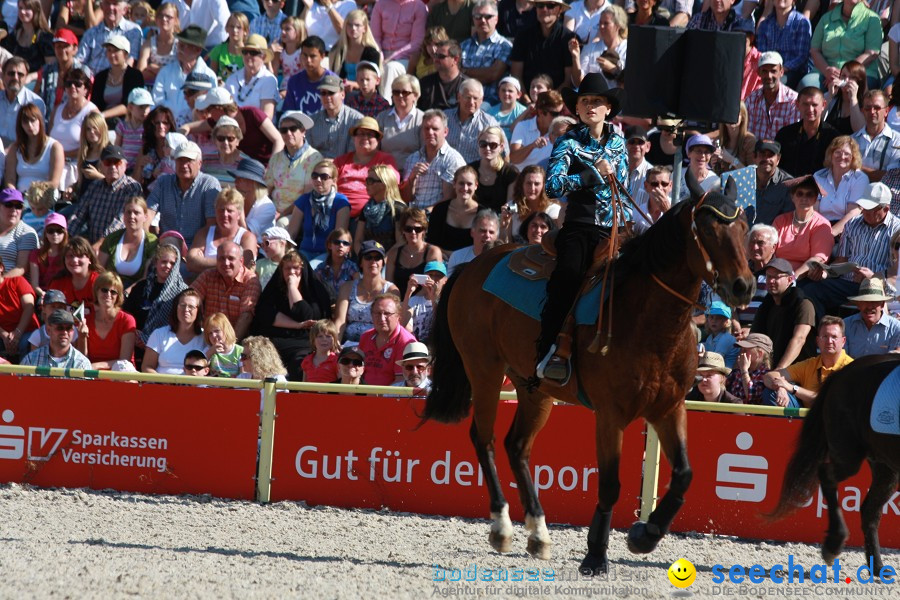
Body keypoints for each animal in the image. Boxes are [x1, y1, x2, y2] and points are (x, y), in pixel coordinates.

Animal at [422, 176, 752, 576]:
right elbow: (609, 485)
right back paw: (502, 527)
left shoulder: (669, 409)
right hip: (484, 369)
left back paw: (539, 534)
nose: (743, 286)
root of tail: (471, 268)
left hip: (534, 390)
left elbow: (684, 475)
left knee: (516, 446)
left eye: (743, 226)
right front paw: (596, 554)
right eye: (706, 228)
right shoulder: (610, 416)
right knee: (483, 439)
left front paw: (646, 534)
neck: (648, 320)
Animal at [768, 354, 900, 576]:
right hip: (849, 456)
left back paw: (878, 567)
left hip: (885, 467)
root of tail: (842, 373)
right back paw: (834, 544)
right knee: (827, 475)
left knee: (869, 511)